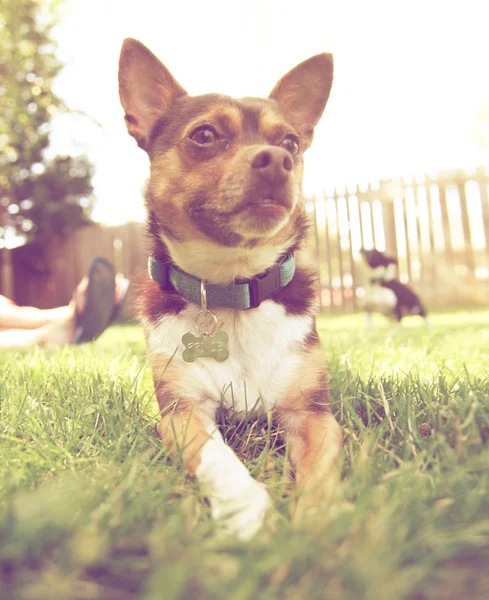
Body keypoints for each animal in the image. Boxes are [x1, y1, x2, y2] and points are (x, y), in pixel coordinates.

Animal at [117, 39, 342, 540]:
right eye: (204, 136)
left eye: (290, 143)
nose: (277, 159)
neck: (233, 287)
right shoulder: (182, 415)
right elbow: (218, 458)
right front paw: (248, 512)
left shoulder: (313, 415)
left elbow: (319, 472)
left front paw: (319, 526)